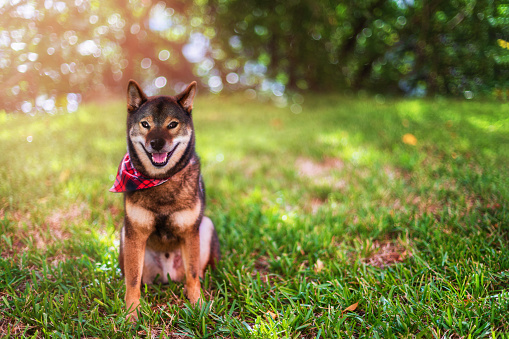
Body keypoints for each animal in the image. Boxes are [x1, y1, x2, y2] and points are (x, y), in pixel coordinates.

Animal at [110, 79, 219, 322]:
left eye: (172, 125)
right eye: (145, 124)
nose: (157, 143)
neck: (160, 181)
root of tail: (167, 274)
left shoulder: (189, 232)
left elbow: (193, 275)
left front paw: (198, 305)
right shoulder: (135, 232)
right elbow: (132, 280)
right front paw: (132, 313)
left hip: (206, 226)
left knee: (194, 273)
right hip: (125, 233)